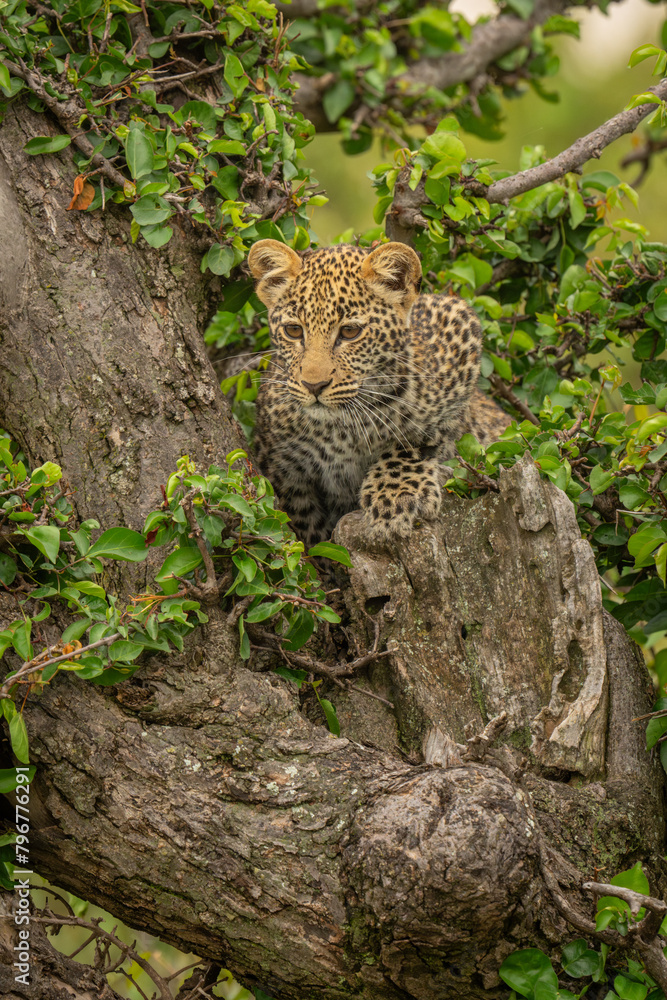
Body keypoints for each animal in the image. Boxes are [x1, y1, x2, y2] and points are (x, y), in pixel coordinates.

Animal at [248, 239, 509, 547]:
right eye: (293, 330)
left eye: (349, 332)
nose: (314, 385)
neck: (340, 431)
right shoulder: (283, 470)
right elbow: (307, 532)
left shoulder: (458, 325)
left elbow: (419, 436)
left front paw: (395, 497)